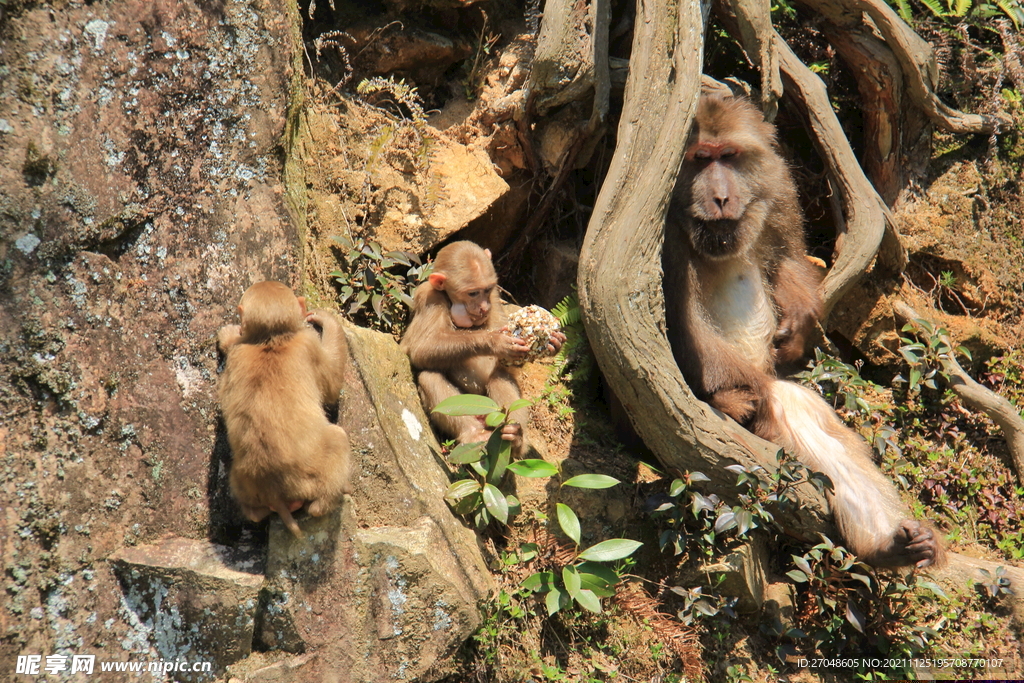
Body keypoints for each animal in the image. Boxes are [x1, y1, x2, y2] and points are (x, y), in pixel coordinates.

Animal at [217, 280, 352, 536]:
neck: (271, 339)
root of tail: (275, 495)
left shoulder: (240, 350)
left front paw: (228, 335)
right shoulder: (308, 343)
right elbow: (332, 386)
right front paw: (327, 320)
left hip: (244, 481)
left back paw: (256, 512)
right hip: (311, 476)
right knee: (338, 437)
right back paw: (327, 502)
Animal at [399, 240, 565, 454]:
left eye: (486, 290)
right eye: (472, 293)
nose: (484, 307)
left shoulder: (495, 296)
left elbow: (506, 365)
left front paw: (553, 344)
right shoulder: (428, 297)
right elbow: (420, 349)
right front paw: (495, 341)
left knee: (500, 377)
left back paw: (515, 439)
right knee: (429, 376)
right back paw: (474, 433)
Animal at [663, 93, 942, 569]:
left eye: (728, 156)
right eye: (700, 159)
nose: (720, 196)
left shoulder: (777, 191)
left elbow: (788, 258)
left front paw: (798, 325)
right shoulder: (663, 236)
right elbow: (682, 324)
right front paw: (745, 393)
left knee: (812, 423)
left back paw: (895, 546)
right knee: (773, 399)